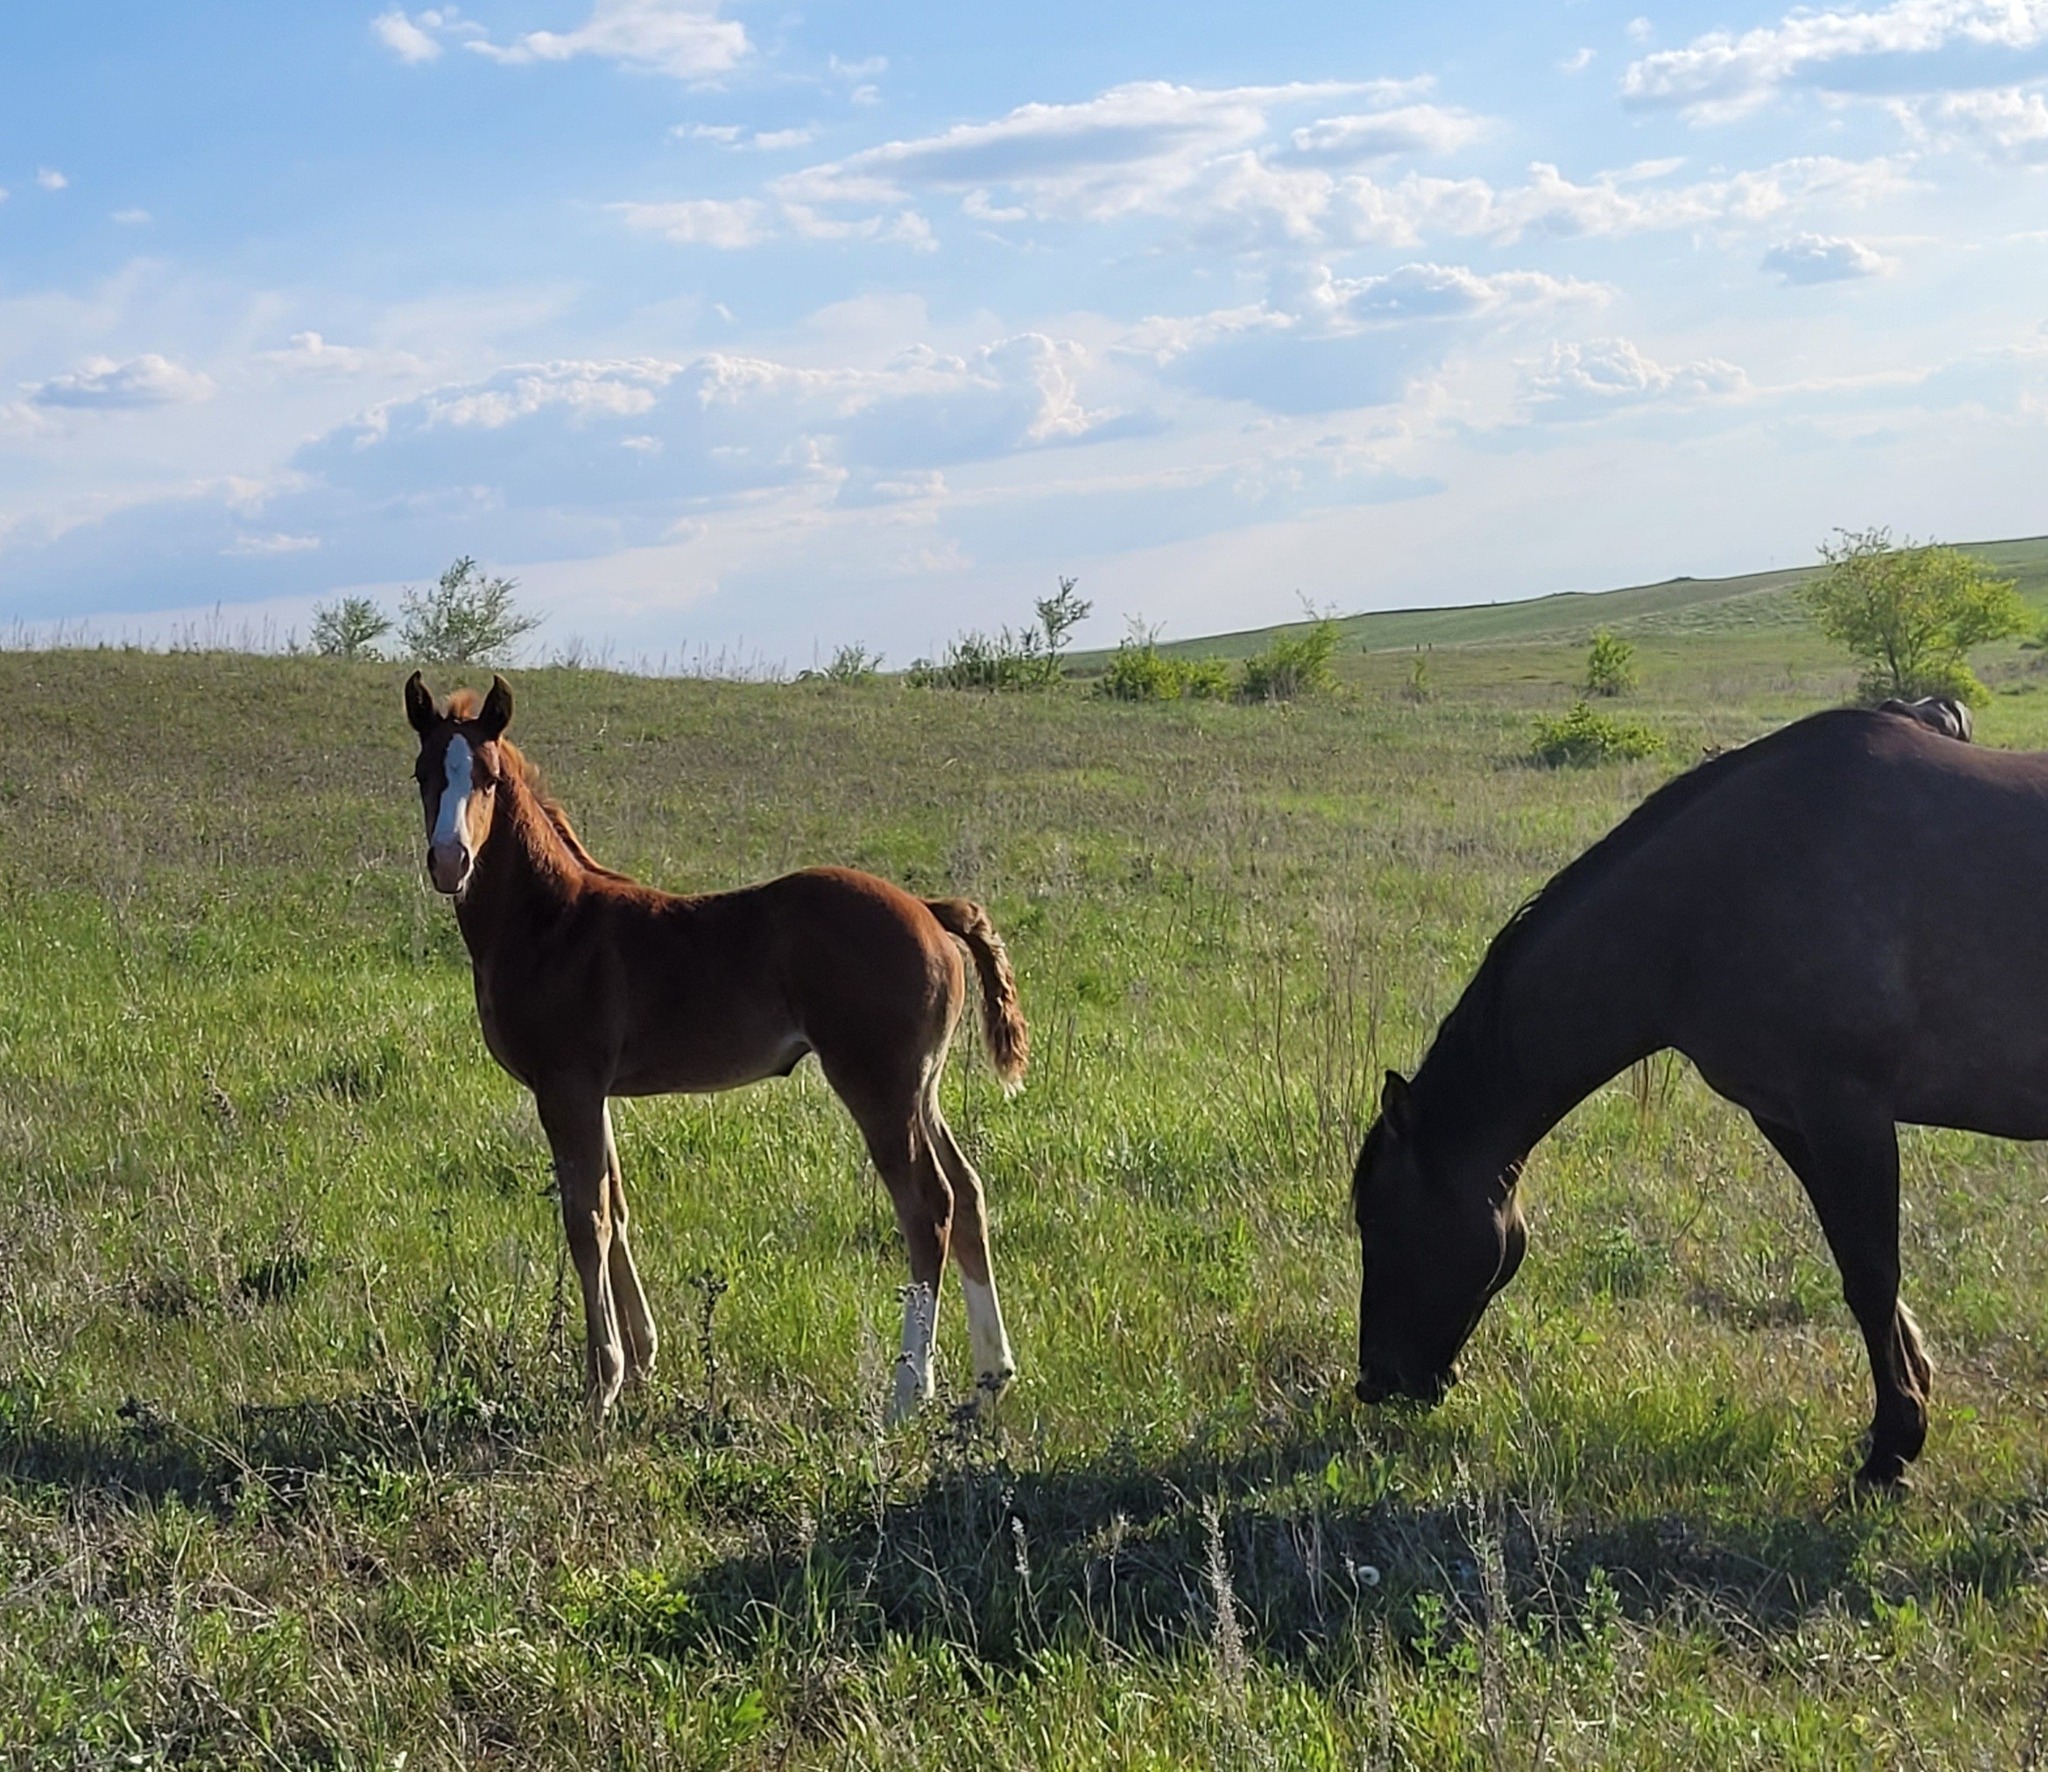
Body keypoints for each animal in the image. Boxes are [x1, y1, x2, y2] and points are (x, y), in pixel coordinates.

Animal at [403, 672, 1029, 1425]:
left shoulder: (565, 1086)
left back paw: (909, 1392)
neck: (553, 924)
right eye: (422, 773)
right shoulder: (596, 1092)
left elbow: (586, 1221)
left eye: (489, 777)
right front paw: (642, 1358)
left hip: (878, 1085)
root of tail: (931, 911)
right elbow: (616, 1206)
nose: (449, 860)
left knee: (929, 1207)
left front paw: (601, 1382)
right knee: (968, 1193)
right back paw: (991, 1375)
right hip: (920, 1088)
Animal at [1351, 702, 2048, 1488]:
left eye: (1379, 1218)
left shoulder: (1848, 1111)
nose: (1377, 1381)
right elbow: (1855, 1262)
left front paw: (1892, 1451)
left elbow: (1872, 1273)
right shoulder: (1790, 1115)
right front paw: (1907, 1402)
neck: (1725, 891)